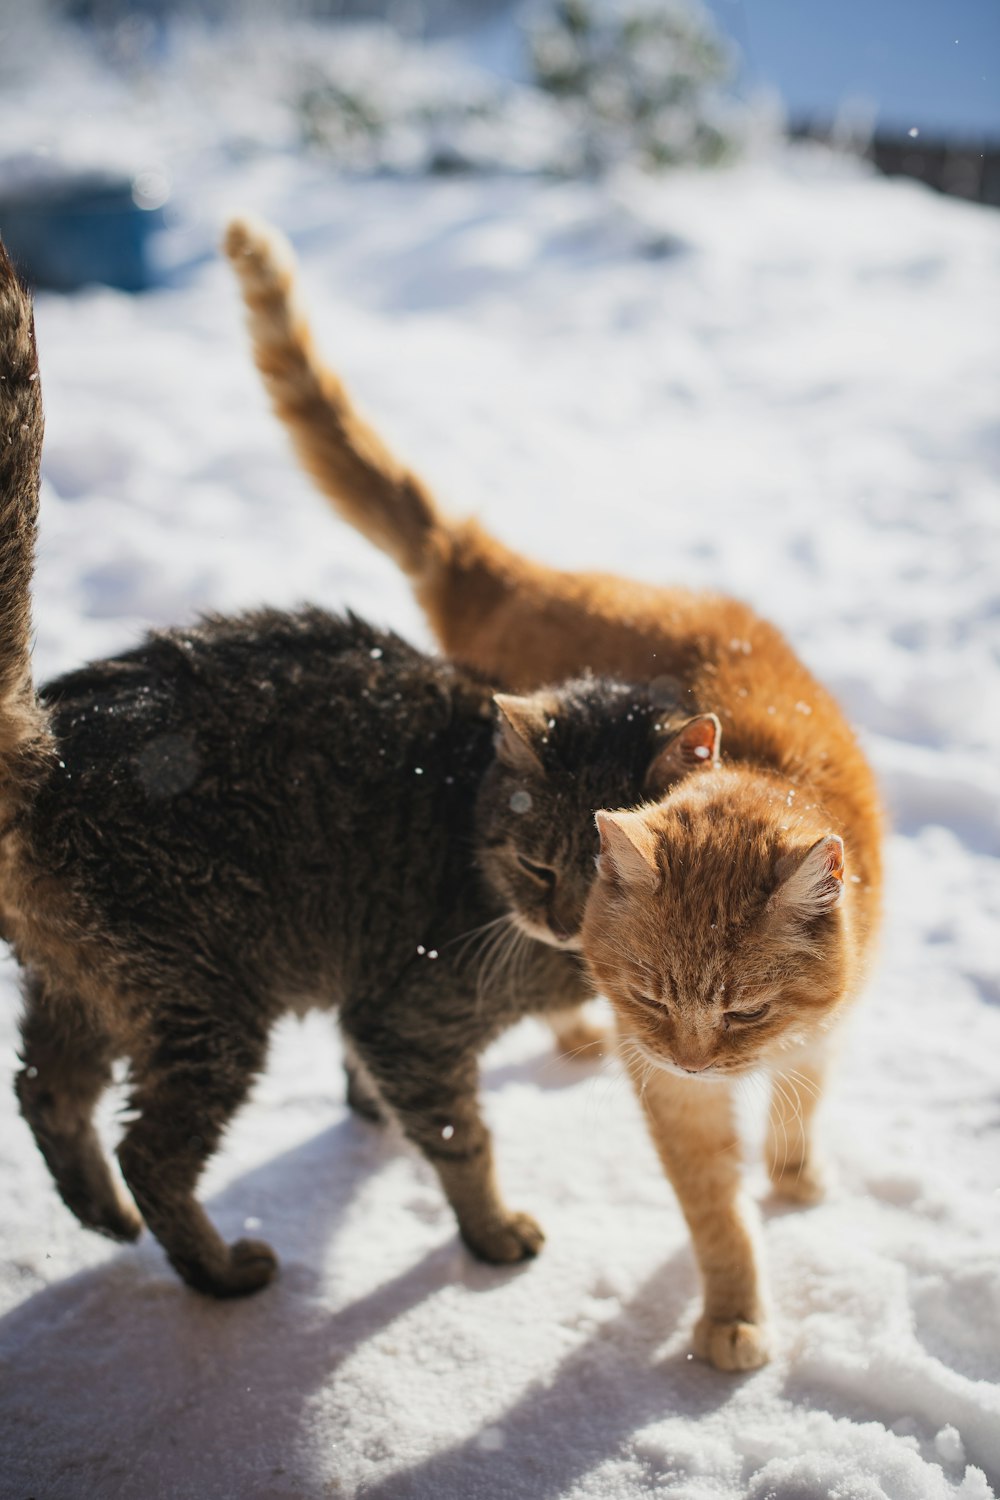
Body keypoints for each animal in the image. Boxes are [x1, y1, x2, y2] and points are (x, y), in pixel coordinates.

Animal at [224, 214, 881, 1374]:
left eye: (745, 1007)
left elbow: (802, 1100)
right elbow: (716, 1214)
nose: (687, 1054)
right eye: (658, 1000)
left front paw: (797, 1174)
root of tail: (496, 568)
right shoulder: (669, 1094)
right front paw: (733, 1313)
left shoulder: (819, 1031)